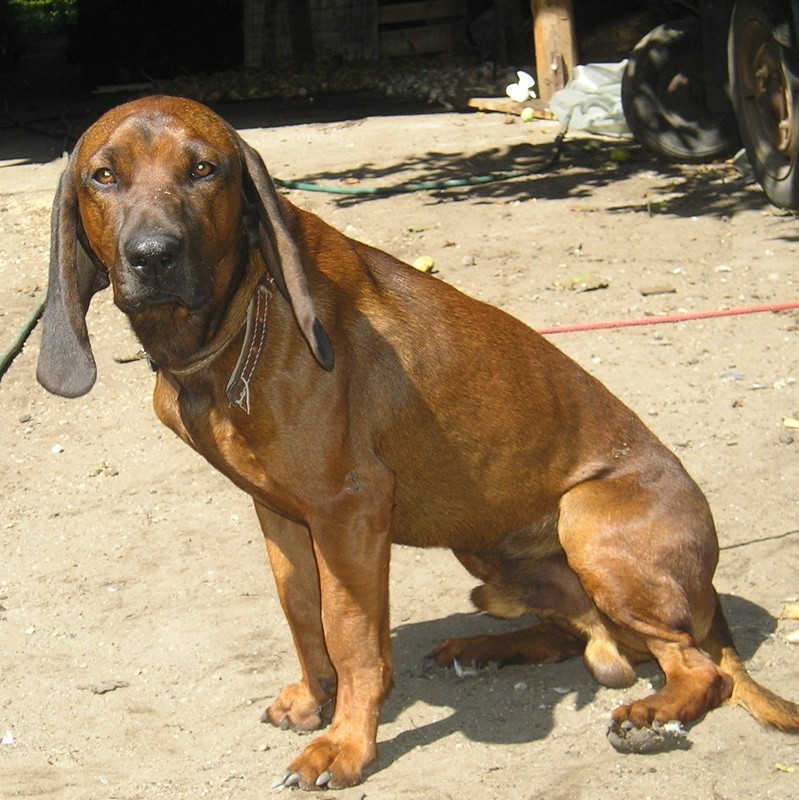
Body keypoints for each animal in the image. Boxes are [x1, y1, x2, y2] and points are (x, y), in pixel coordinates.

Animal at [37, 95, 799, 788]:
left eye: (204, 170)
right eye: (103, 176)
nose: (153, 257)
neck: (246, 314)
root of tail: (711, 591)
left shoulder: (350, 510)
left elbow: (350, 635)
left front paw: (345, 745)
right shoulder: (280, 512)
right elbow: (302, 613)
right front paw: (314, 701)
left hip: (584, 520)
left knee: (694, 666)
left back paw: (652, 712)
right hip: (482, 541)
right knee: (595, 635)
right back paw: (488, 647)